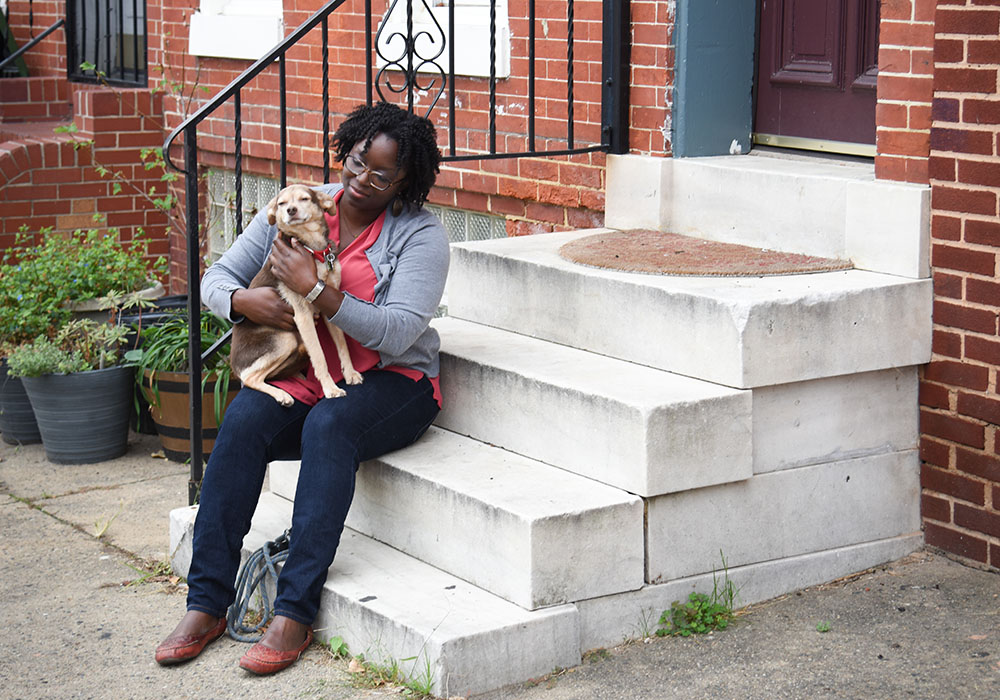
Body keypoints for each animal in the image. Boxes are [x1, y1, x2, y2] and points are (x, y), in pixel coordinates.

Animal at [229, 186, 364, 404]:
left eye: (304, 198)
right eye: (281, 203)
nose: (290, 210)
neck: (314, 249)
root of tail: (233, 364)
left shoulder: (331, 307)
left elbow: (343, 345)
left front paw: (350, 373)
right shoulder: (302, 315)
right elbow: (319, 355)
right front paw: (330, 388)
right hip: (285, 340)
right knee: (250, 378)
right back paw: (282, 394)